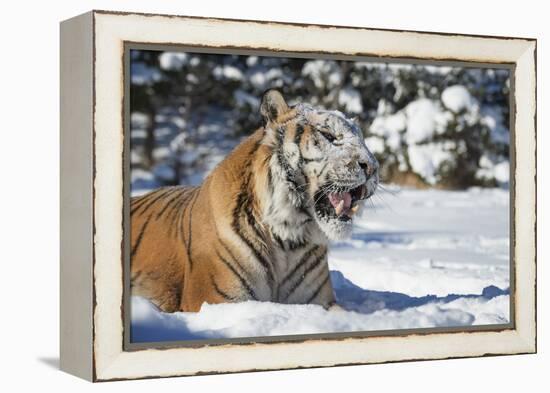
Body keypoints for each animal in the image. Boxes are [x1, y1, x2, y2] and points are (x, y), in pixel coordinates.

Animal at [130, 89, 380, 312]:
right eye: (328, 135)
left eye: (362, 141)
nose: (372, 167)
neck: (289, 240)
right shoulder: (217, 300)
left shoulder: (321, 302)